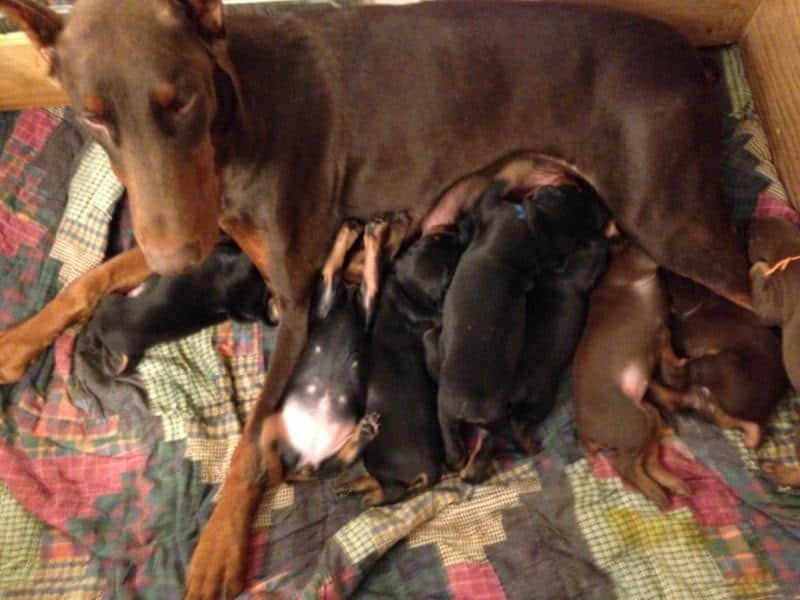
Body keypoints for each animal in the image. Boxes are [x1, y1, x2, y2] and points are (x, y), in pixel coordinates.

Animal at [336, 218, 468, 504]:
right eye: (435, 240)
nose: (455, 228)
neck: (409, 293)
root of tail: (431, 471)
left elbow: (372, 265)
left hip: (379, 460)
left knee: (391, 490)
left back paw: (367, 495)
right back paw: (356, 487)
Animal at [572, 241, 692, 508]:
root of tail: (586, 436)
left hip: (648, 416)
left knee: (647, 461)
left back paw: (675, 485)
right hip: (635, 425)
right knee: (626, 465)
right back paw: (658, 494)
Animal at [652, 274, 784, 448]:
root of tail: (758, 421)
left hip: (722, 365)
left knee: (674, 374)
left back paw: (663, 335)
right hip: (693, 398)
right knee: (669, 397)